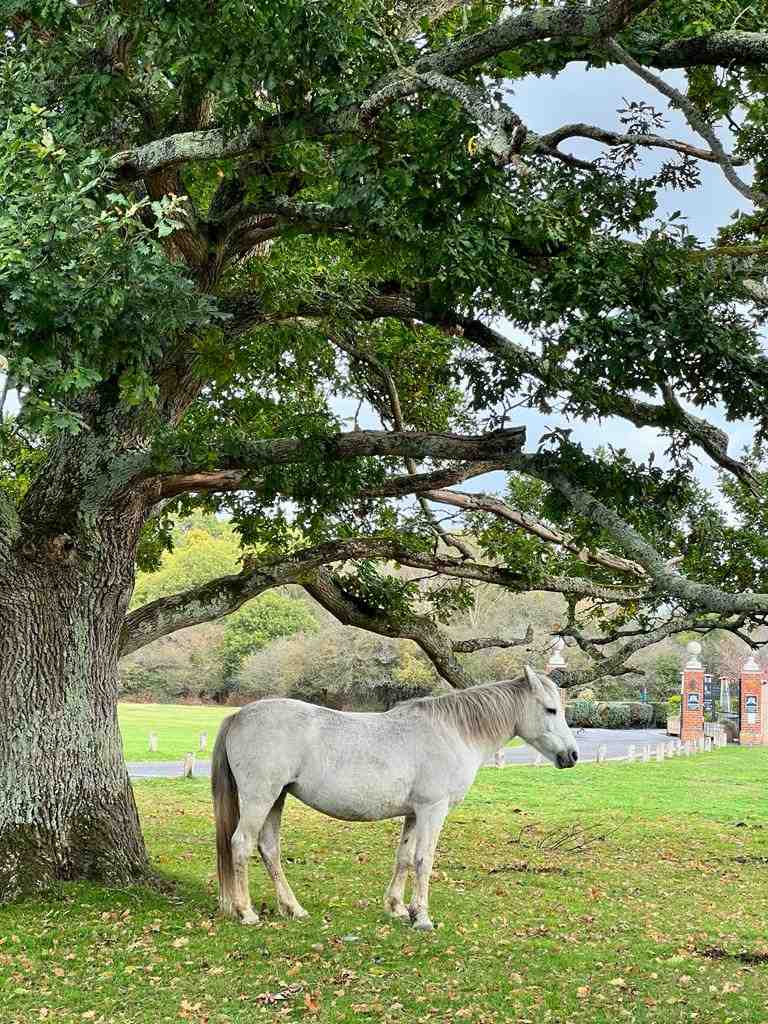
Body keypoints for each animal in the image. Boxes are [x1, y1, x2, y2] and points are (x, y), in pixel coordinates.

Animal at [211, 665, 578, 930]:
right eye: (550, 710)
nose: (572, 755)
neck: (452, 732)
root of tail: (239, 715)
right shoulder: (433, 810)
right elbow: (424, 860)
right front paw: (423, 918)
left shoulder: (414, 813)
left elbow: (404, 858)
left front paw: (398, 908)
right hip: (260, 798)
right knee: (242, 844)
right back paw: (246, 913)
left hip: (276, 799)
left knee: (269, 849)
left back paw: (293, 908)